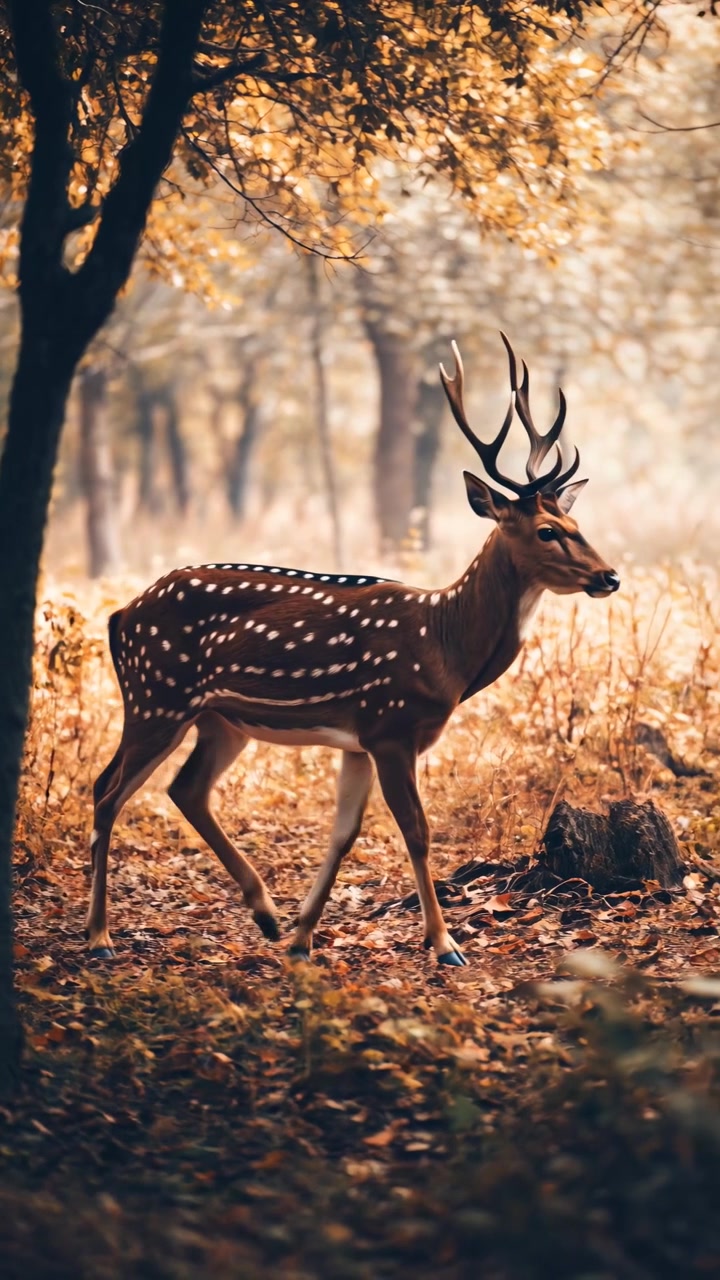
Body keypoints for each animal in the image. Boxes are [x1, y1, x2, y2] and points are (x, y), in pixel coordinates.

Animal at [87, 334, 619, 966]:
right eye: (547, 531)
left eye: (577, 523)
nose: (610, 576)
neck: (445, 648)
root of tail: (120, 615)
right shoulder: (391, 725)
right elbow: (417, 830)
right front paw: (445, 944)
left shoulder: (358, 740)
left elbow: (343, 833)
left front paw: (301, 937)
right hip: (158, 694)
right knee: (107, 792)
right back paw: (99, 937)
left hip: (220, 718)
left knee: (182, 788)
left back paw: (265, 914)